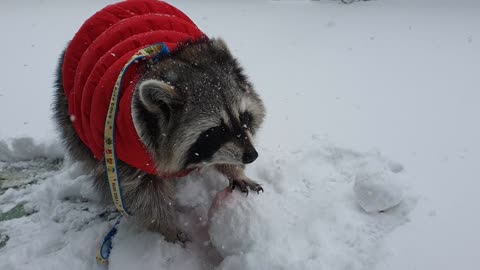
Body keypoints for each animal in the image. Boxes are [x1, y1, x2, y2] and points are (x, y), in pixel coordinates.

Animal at [54, 38, 268, 240]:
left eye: (243, 117)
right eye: (216, 130)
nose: (252, 155)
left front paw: (235, 171)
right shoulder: (124, 151)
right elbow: (145, 194)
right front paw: (166, 228)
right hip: (73, 116)